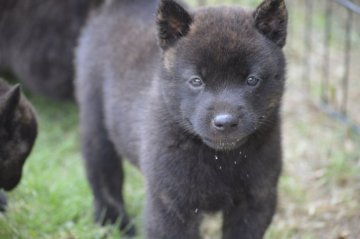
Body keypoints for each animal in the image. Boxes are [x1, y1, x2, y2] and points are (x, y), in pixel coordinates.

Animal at [75, 0, 286, 237]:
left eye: (252, 80)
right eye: (196, 81)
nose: (225, 122)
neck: (220, 160)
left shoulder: (256, 200)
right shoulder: (171, 207)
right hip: (96, 123)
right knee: (103, 176)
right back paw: (114, 222)